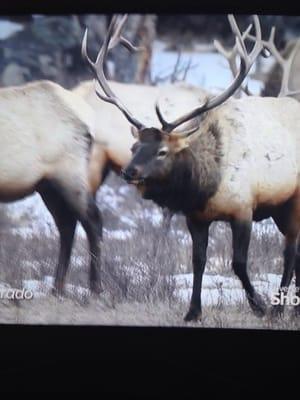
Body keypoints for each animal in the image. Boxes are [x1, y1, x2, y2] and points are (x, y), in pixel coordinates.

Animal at [0, 79, 102, 296]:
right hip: (47, 186)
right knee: (67, 225)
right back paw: (57, 288)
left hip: (68, 174)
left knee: (92, 220)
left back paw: (95, 287)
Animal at [82, 13, 300, 322]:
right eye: (134, 147)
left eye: (162, 151)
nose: (128, 171)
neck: (206, 187)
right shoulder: (195, 217)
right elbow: (198, 260)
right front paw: (193, 311)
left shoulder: (244, 209)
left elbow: (238, 262)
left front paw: (258, 304)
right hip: (280, 209)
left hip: (293, 201)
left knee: (290, 252)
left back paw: (279, 308)